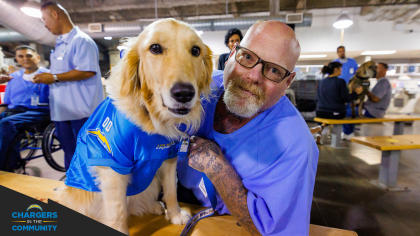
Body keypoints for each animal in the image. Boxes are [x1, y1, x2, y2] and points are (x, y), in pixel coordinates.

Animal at [56, 19, 213, 235]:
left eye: (196, 50)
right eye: (155, 48)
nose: (184, 93)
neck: (151, 119)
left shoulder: (169, 157)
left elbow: (171, 191)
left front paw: (174, 214)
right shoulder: (113, 165)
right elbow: (118, 211)